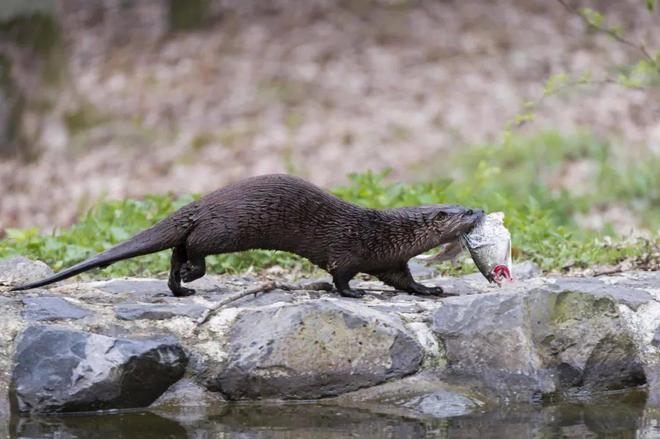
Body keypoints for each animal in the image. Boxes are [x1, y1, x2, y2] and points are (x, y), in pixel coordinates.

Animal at [11, 175, 484, 300]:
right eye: (463, 212)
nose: (480, 210)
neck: (386, 233)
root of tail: (201, 203)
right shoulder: (350, 250)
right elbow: (340, 276)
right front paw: (354, 295)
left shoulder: (390, 260)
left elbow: (405, 281)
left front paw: (432, 289)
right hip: (222, 230)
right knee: (189, 247)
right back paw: (189, 276)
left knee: (177, 249)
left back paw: (179, 288)